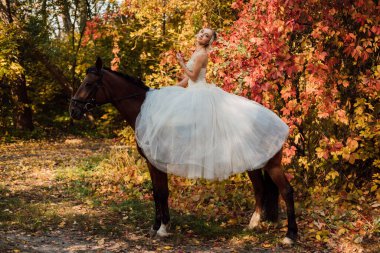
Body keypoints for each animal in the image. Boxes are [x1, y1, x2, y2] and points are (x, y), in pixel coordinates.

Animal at [70, 57, 296, 245]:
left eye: (88, 84)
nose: (73, 110)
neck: (143, 110)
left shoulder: (156, 161)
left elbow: (162, 192)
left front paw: (162, 228)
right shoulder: (152, 162)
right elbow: (156, 192)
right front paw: (156, 226)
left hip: (272, 165)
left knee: (286, 191)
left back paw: (290, 236)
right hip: (253, 163)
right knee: (260, 189)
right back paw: (253, 225)